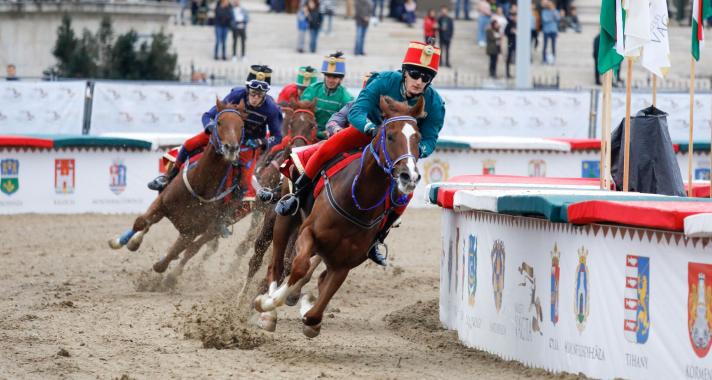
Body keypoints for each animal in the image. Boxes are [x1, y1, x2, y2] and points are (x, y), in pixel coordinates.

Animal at [107, 98, 249, 280]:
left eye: (241, 125)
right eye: (219, 122)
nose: (231, 148)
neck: (200, 186)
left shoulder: (192, 231)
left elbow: (172, 257)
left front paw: (166, 271)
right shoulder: (162, 202)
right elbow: (141, 222)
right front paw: (119, 242)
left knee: (192, 249)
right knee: (147, 224)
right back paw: (133, 241)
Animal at [252, 96, 422, 336]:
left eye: (418, 138)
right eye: (390, 135)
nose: (409, 176)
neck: (358, 201)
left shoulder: (343, 263)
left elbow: (314, 314)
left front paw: (307, 305)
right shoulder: (308, 233)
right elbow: (299, 266)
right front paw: (267, 303)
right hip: (283, 219)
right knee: (275, 264)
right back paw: (269, 310)